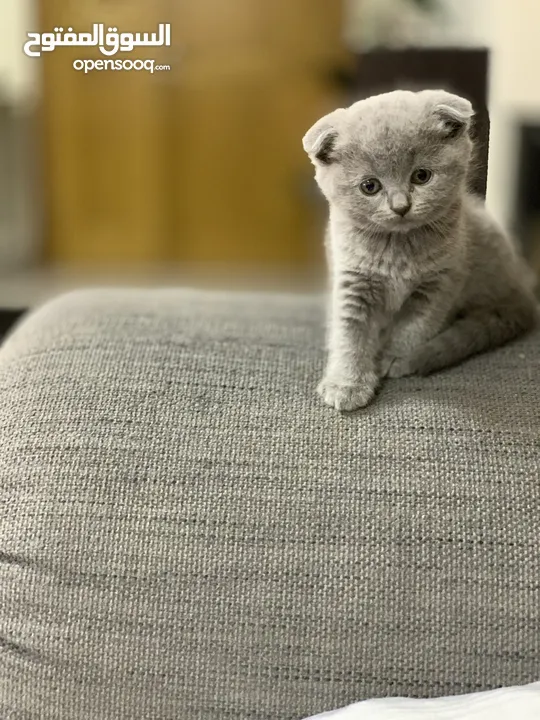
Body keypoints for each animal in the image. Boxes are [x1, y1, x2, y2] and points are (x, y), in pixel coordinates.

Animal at [302, 90, 536, 410]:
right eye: (369, 186)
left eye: (421, 176)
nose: (400, 206)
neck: (398, 249)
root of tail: (522, 291)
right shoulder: (352, 280)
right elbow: (350, 333)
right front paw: (347, 384)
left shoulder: (440, 284)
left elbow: (415, 327)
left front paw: (396, 358)